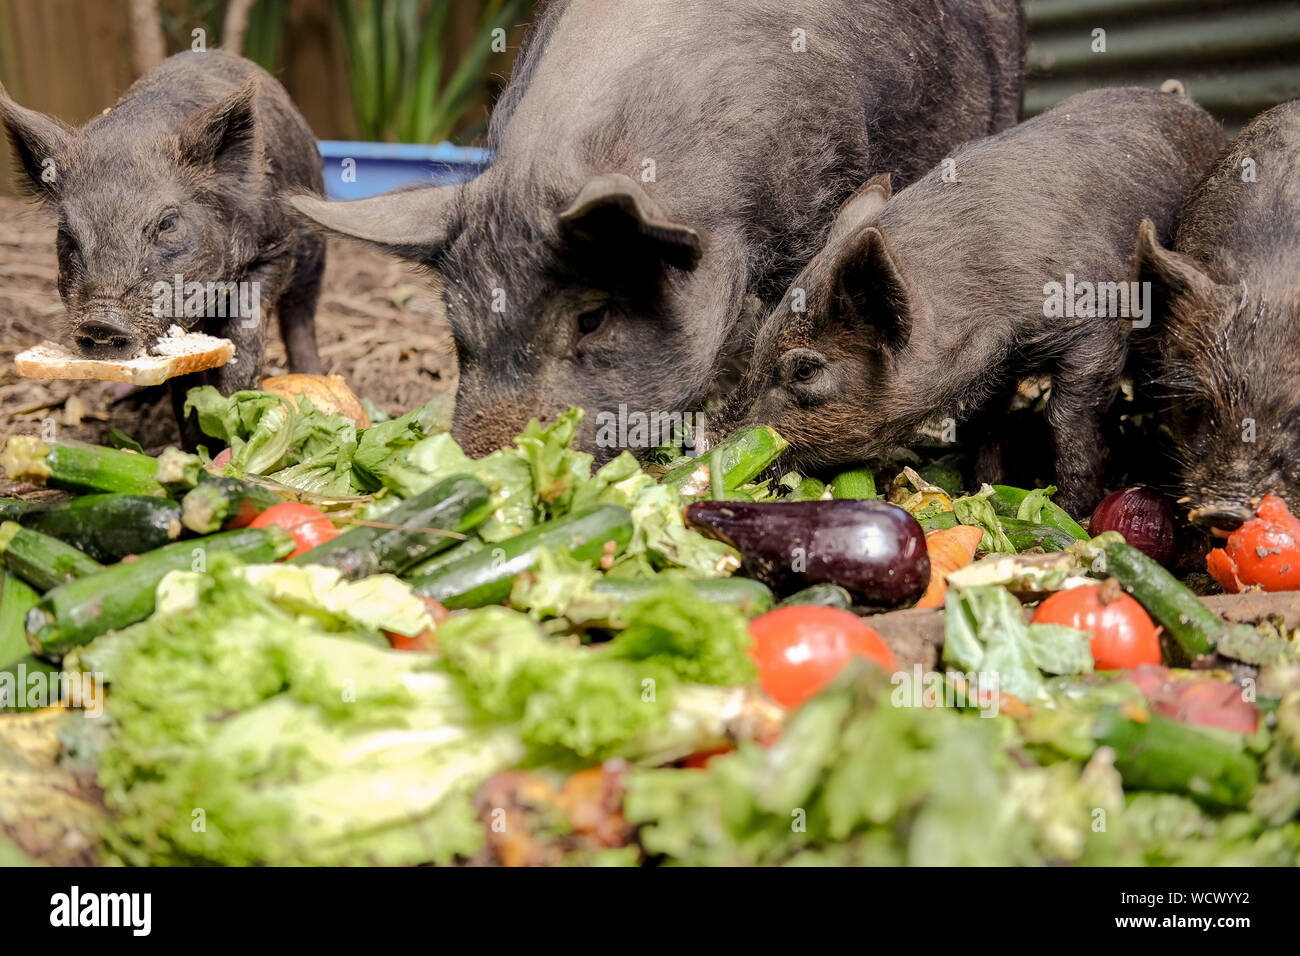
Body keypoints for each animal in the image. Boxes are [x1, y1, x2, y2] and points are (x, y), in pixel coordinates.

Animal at [0, 50, 326, 429]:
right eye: (67, 234)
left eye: (168, 223)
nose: (100, 321)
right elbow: (183, 386)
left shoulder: (277, 248)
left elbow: (246, 329)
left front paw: (238, 399)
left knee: (300, 316)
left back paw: (314, 378)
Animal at [721, 86, 1226, 517]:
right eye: (759, 347)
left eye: (805, 371)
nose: (711, 441)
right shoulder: (996, 365)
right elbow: (985, 422)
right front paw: (983, 490)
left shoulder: (1094, 330)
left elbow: (1066, 418)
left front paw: (1071, 512)